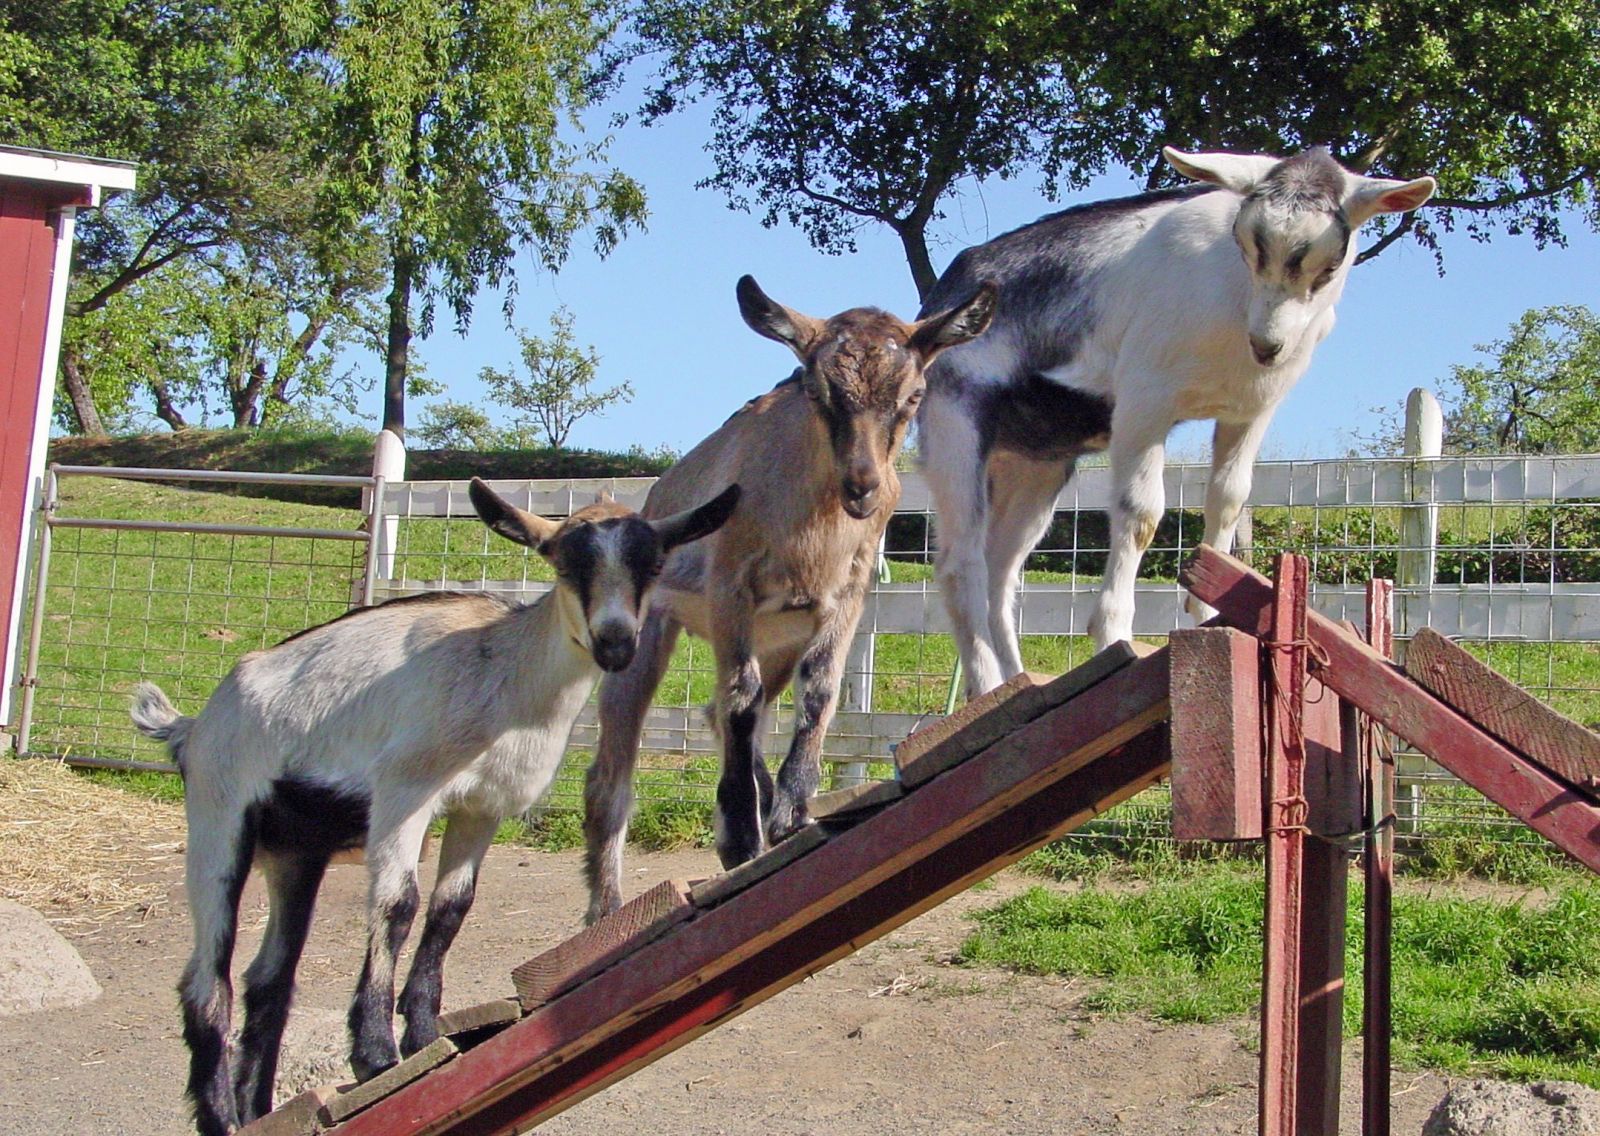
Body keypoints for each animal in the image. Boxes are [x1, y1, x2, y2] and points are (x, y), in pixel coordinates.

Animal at [129, 478, 738, 1136]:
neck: (505, 675)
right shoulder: (405, 791)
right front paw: (374, 1053)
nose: (616, 641)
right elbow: (399, 905)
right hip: (219, 816)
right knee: (206, 980)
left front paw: (421, 1035)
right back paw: (221, 1116)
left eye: (651, 565)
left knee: (269, 979)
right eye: (563, 563)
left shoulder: (480, 807)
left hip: (295, 852)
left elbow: (451, 909)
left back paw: (256, 1109)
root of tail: (192, 727)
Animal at [582, 274, 996, 920]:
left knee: (726, 710)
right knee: (616, 769)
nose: (863, 486)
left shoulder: (847, 591)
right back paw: (608, 909)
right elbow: (740, 697)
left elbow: (819, 687)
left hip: (777, 638)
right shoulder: (731, 587)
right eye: (817, 391)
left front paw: (792, 809)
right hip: (644, 632)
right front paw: (740, 832)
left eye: (913, 396)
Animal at [918, 146, 1435, 697]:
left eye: (1331, 263)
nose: (1268, 345)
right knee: (961, 563)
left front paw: (1207, 612)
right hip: (955, 423)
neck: (1233, 306)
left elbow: (1228, 500)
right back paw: (989, 686)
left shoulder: (1250, 411)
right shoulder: (1144, 402)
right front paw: (1112, 634)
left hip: (1038, 465)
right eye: (1244, 242)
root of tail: (944, 300)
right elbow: (1141, 513)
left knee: (1002, 570)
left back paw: (1018, 682)